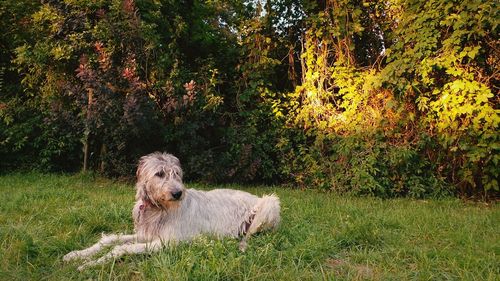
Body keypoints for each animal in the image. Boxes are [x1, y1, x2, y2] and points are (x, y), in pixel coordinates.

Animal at [63, 151, 282, 270]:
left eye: (177, 174)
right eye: (159, 174)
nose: (178, 193)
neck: (156, 208)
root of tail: (255, 196)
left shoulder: (166, 242)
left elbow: (120, 248)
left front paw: (90, 264)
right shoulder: (145, 234)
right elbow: (109, 240)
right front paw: (76, 255)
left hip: (270, 203)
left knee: (249, 236)